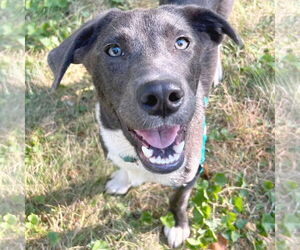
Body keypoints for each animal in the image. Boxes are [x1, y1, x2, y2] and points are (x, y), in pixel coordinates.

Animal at [48, 0, 241, 246]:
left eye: (182, 42)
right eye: (114, 50)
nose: (162, 96)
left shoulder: (192, 171)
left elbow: (177, 199)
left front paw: (177, 224)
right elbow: (122, 167)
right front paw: (122, 181)